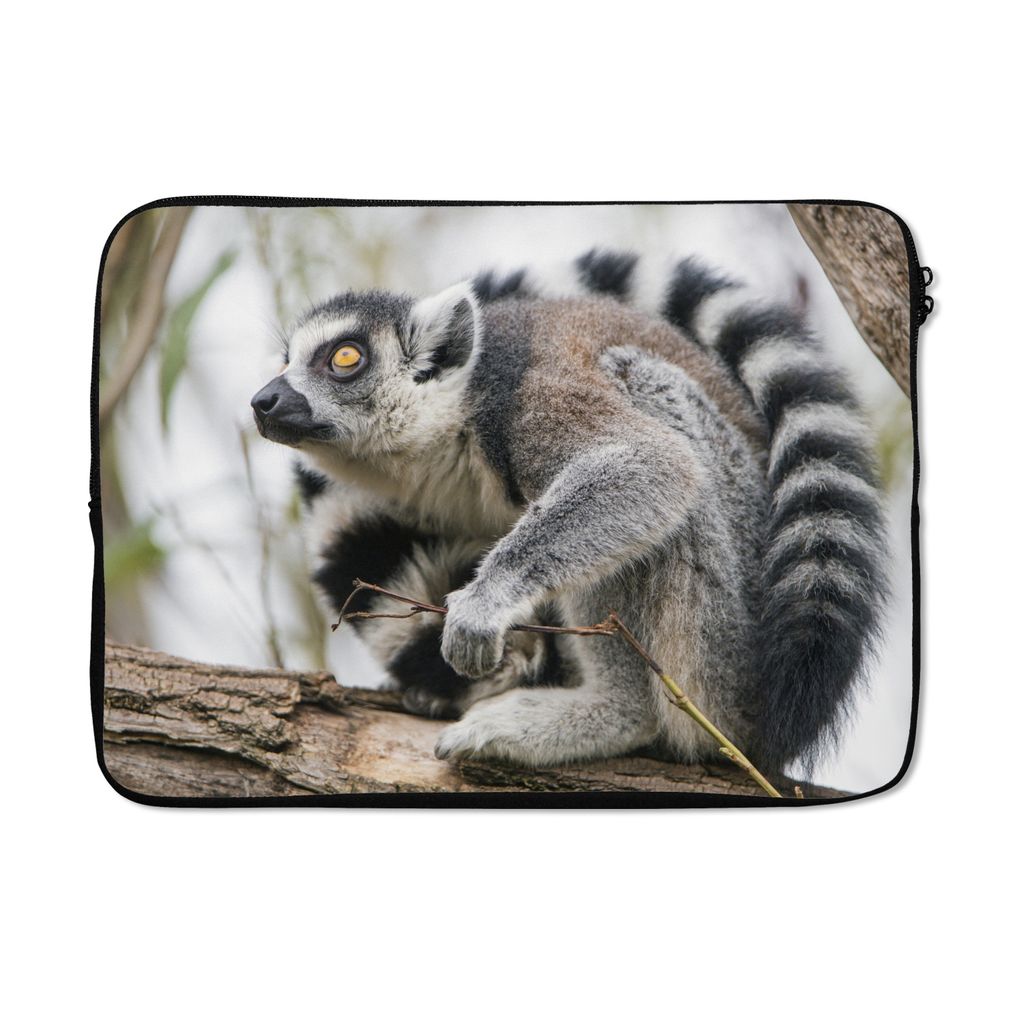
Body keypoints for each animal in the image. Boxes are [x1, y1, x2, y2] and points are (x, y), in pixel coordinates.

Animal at [250, 250, 887, 772]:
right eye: (284, 361)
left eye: (345, 358)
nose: (264, 400)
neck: (451, 433)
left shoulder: (533, 398)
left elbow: (649, 464)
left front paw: (485, 603)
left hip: (727, 651)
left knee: (652, 418)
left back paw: (613, 714)